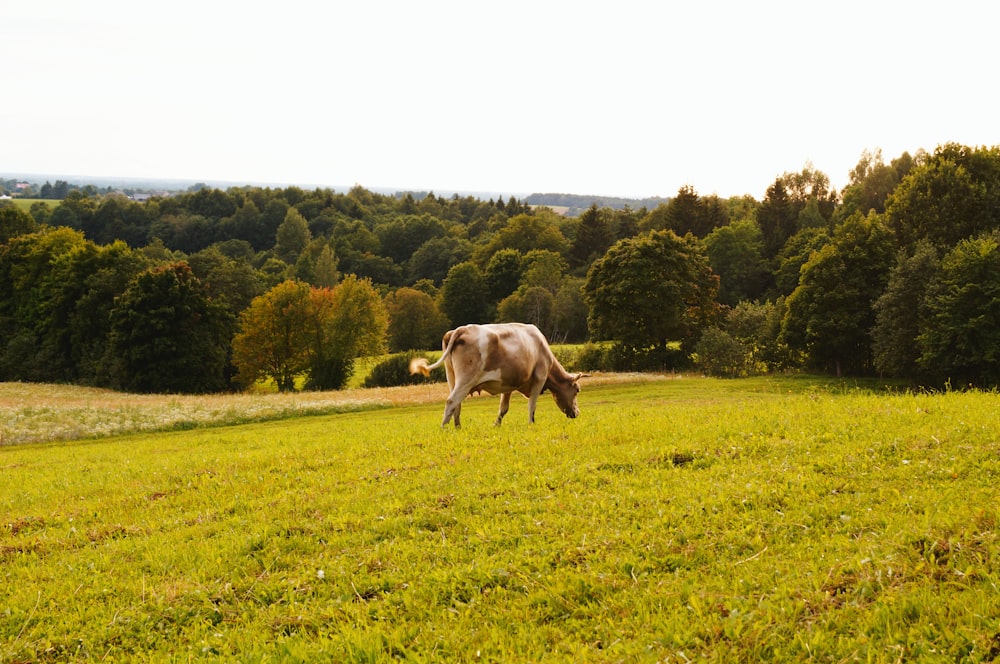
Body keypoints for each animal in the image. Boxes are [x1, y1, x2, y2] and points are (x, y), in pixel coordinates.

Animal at [410, 322, 584, 428]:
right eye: (577, 390)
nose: (577, 414)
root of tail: (463, 329)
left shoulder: (507, 385)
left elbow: (503, 408)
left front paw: (496, 425)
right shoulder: (539, 378)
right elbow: (532, 405)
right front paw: (531, 423)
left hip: (451, 376)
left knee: (456, 404)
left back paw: (458, 427)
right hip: (466, 379)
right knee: (451, 401)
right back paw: (444, 428)